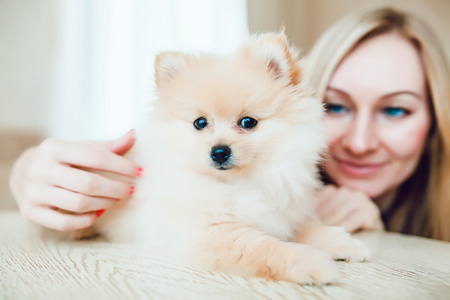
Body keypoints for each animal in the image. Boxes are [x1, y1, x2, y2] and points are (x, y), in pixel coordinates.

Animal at [74, 31, 370, 284]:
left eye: (248, 122)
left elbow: (311, 228)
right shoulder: (217, 234)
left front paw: (344, 244)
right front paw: (310, 262)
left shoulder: (288, 212)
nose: (219, 151)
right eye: (200, 123)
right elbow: (269, 248)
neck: (242, 183)